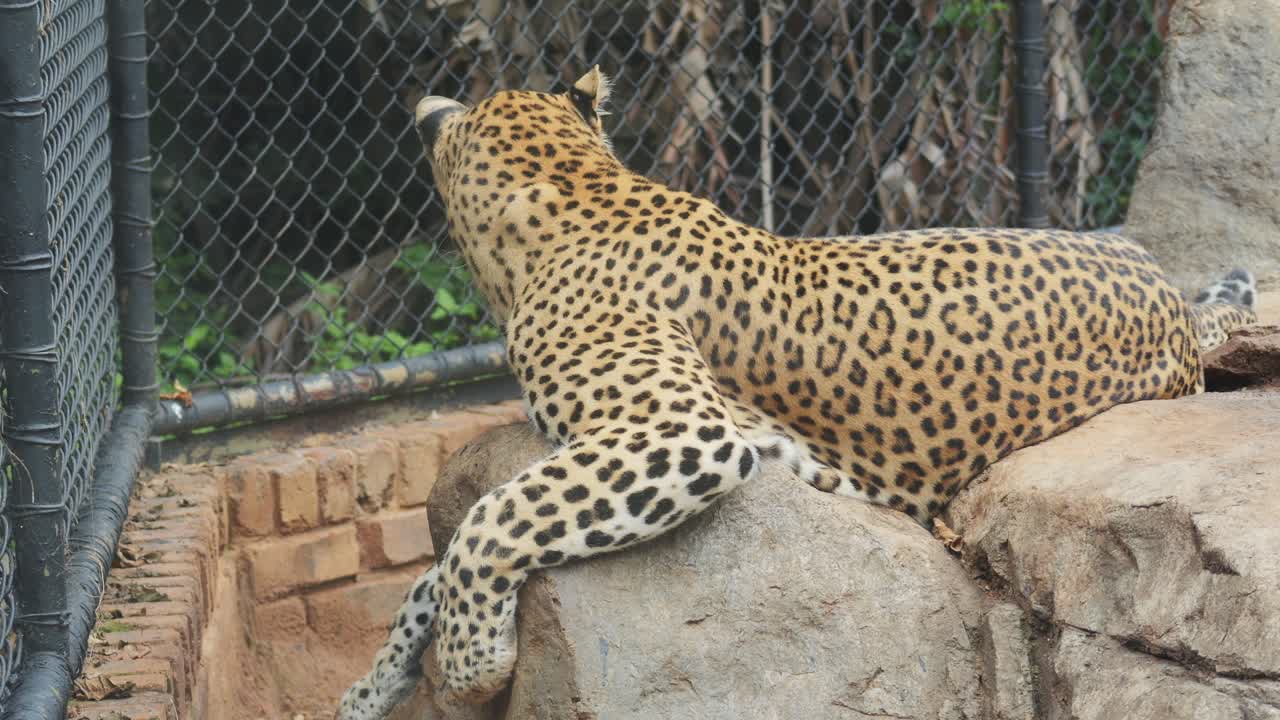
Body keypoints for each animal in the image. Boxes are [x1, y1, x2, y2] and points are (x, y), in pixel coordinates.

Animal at [336, 67, 1257, 719]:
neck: (576, 189)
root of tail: (1165, 287)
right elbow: (439, 564)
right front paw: (372, 688)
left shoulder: (682, 430)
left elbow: (490, 520)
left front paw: (471, 669)